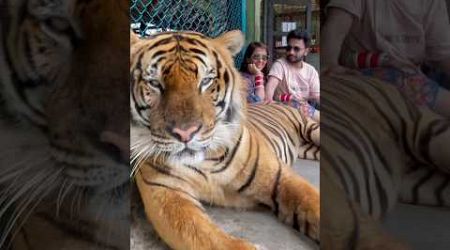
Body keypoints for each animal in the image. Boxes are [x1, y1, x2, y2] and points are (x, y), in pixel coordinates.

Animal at [128, 28, 322, 248]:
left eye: (206, 81)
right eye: (154, 83)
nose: (185, 133)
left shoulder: (279, 176)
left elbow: (312, 201)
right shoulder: (167, 192)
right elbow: (207, 239)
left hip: (312, 129)